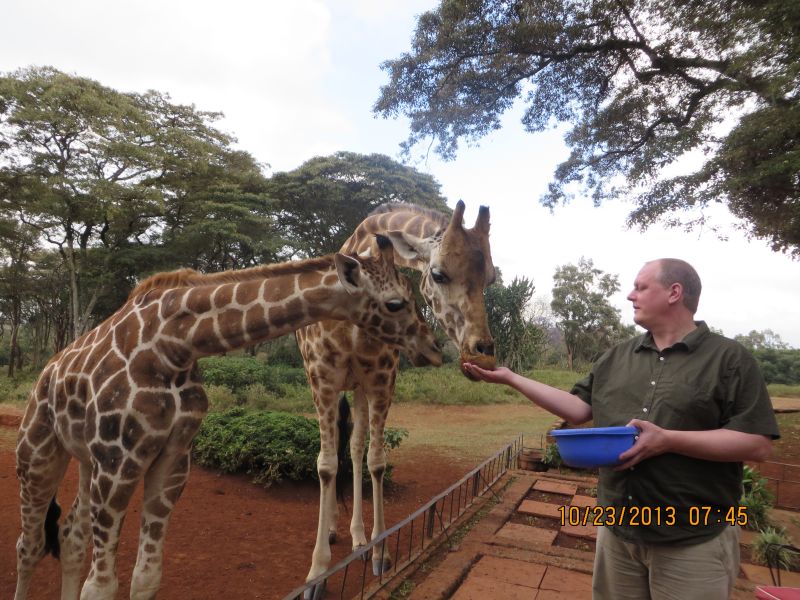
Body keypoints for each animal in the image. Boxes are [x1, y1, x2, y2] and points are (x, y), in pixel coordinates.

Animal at [13, 234, 442, 600]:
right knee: (30, 544)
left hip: (87, 460)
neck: (176, 344)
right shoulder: (119, 461)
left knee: (70, 535)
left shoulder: (170, 459)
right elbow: (100, 587)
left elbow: (146, 578)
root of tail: (45, 374)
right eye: (396, 303)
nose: (433, 348)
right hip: (39, 452)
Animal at [296, 200, 496, 590]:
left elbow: (376, 460)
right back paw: (332, 530)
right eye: (438, 274)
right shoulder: (322, 378)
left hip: (358, 387)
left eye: (491, 278)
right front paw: (316, 573)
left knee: (354, 447)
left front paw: (380, 552)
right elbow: (325, 465)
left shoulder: (382, 379)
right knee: (336, 449)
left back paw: (358, 537)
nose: (480, 349)